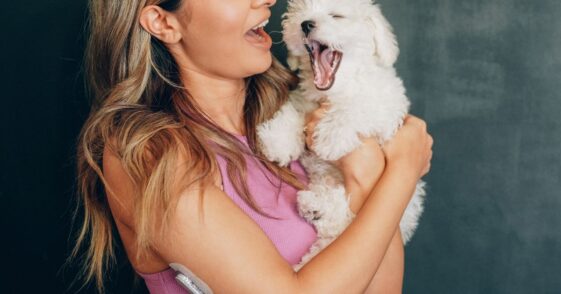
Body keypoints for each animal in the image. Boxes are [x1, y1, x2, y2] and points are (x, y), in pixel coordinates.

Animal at [256, 0, 426, 272]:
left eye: (336, 16)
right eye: (299, 14)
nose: (305, 24)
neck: (335, 91)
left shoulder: (387, 106)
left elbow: (356, 107)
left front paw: (330, 137)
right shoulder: (305, 101)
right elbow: (296, 110)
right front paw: (278, 140)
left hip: (406, 205)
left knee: (343, 215)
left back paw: (317, 207)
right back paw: (314, 207)